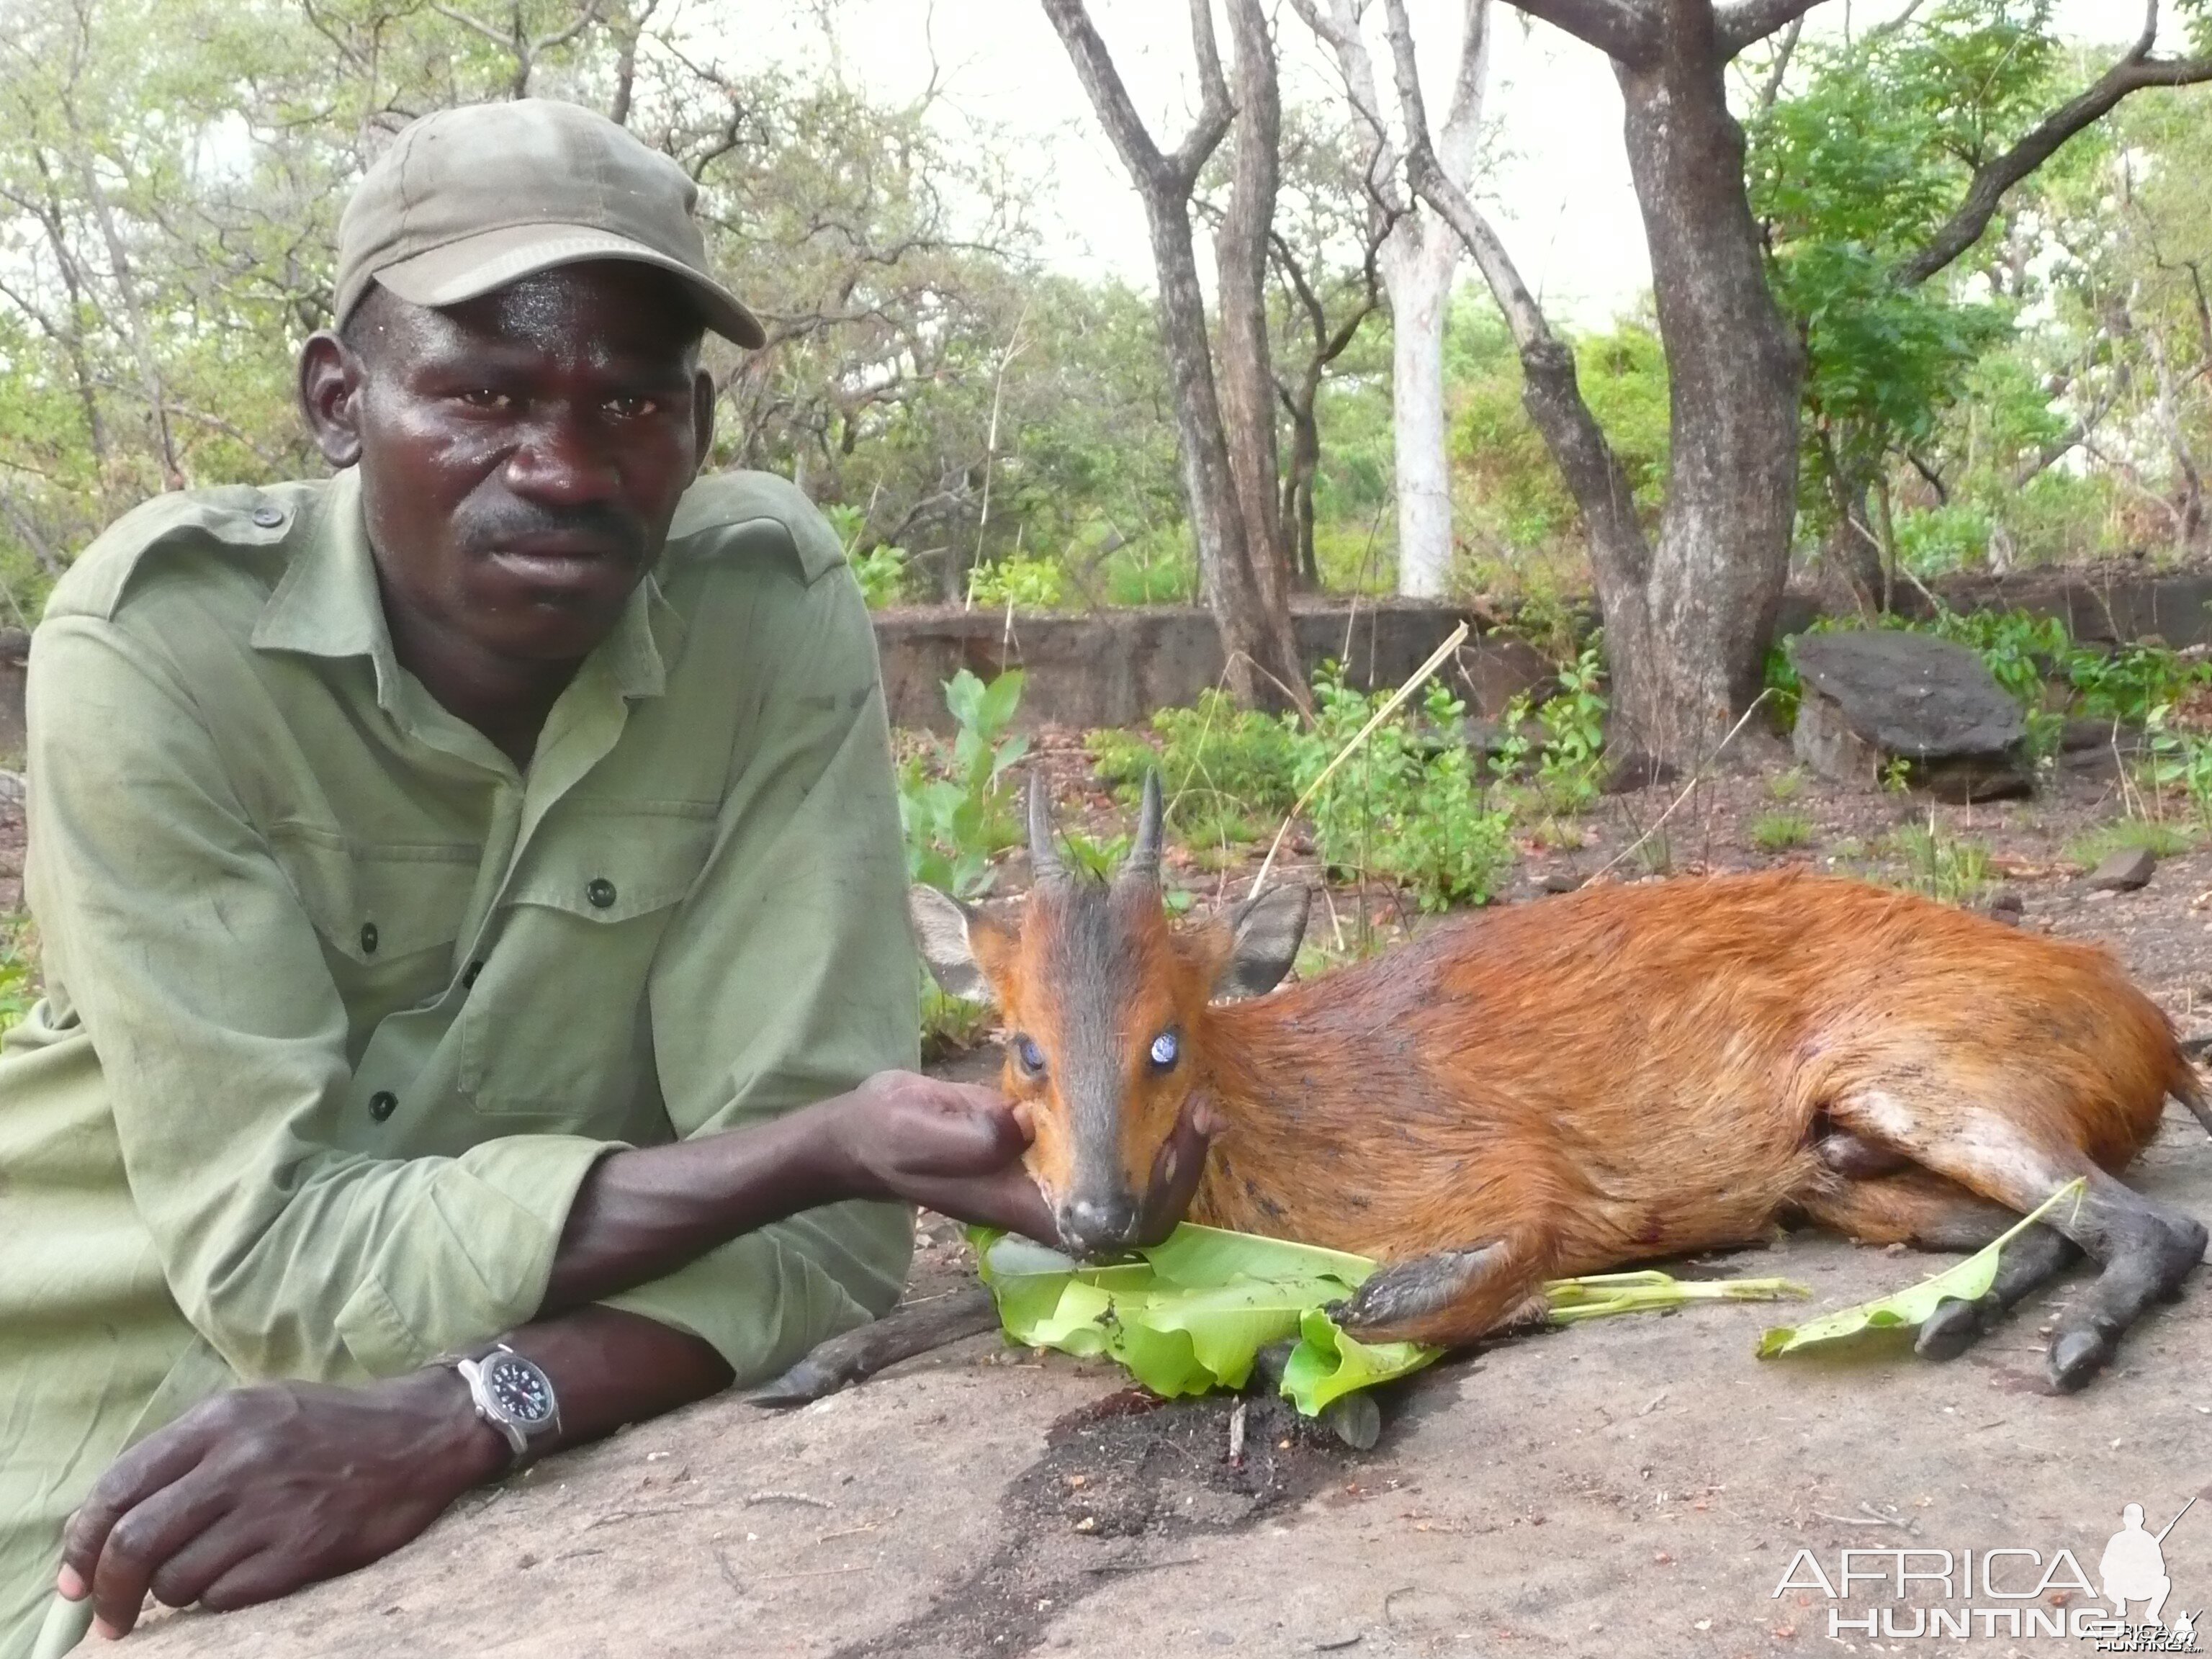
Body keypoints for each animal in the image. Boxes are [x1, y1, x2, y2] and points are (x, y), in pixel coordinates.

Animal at [902, 774, 2212, 1398]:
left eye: (1167, 1042)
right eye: (1021, 1047)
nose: (1098, 1216)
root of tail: (2156, 1030)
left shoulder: (1509, 1177)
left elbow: (1351, 1314)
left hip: (1943, 1068)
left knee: (2153, 1223)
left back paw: (2066, 1350)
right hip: (1847, 1169)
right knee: (2038, 1230)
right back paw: (1951, 1319)